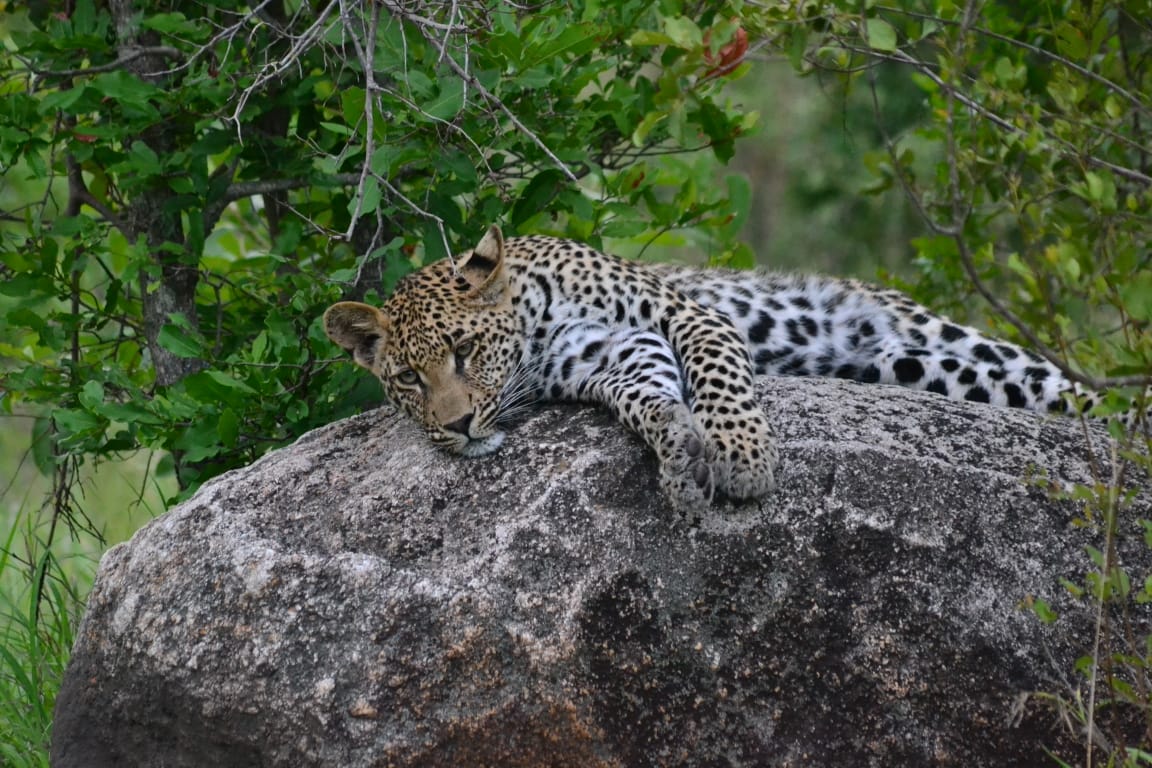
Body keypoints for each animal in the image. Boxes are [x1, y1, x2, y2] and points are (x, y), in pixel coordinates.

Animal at [324, 225, 1112, 521]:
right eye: (407, 380)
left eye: (462, 351)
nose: (457, 426)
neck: (537, 330)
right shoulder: (613, 352)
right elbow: (647, 397)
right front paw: (681, 456)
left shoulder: (685, 315)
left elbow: (718, 377)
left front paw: (740, 456)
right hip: (912, 364)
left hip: (946, 338)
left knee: (1081, 395)